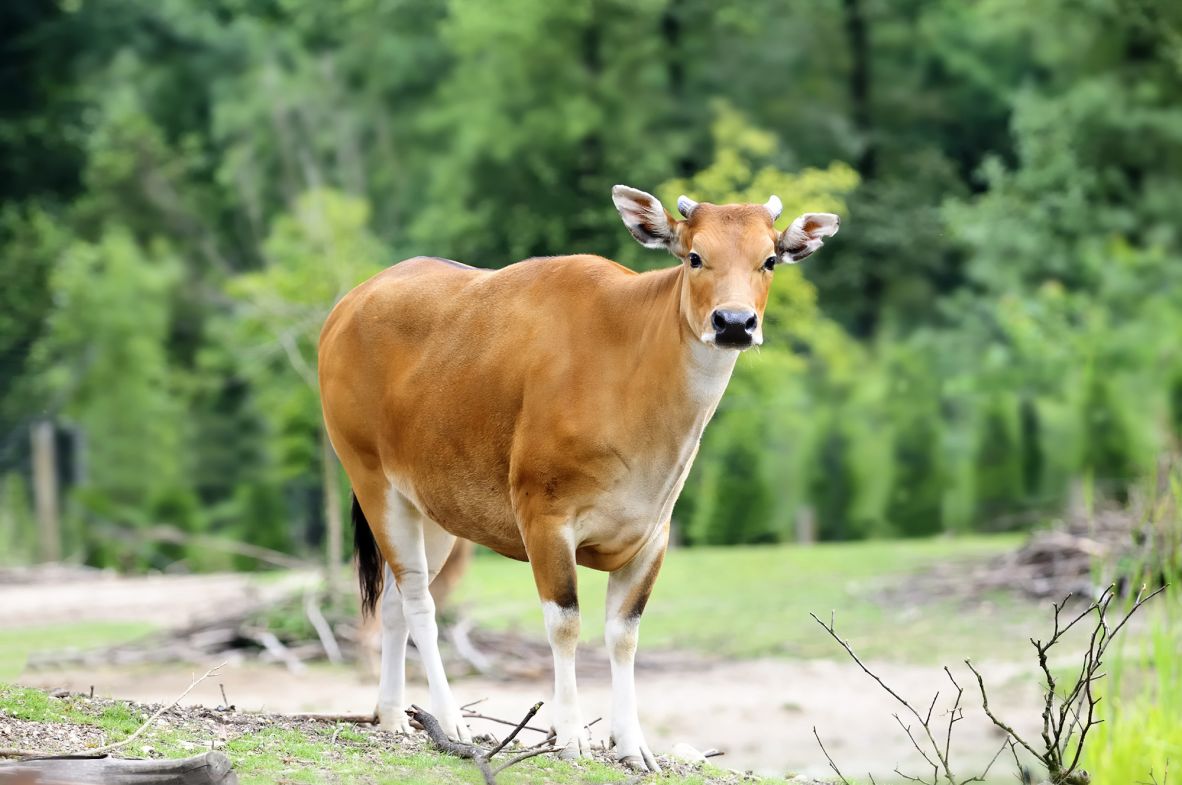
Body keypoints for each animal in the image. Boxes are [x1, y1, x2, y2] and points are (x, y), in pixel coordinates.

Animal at [317, 186, 840, 771]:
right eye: (693, 256)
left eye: (769, 259)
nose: (733, 322)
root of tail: (347, 307)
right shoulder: (544, 519)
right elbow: (565, 623)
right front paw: (570, 735)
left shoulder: (652, 536)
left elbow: (624, 635)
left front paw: (632, 743)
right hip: (372, 479)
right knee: (419, 603)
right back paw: (450, 718)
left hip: (430, 506)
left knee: (393, 603)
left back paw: (391, 715)